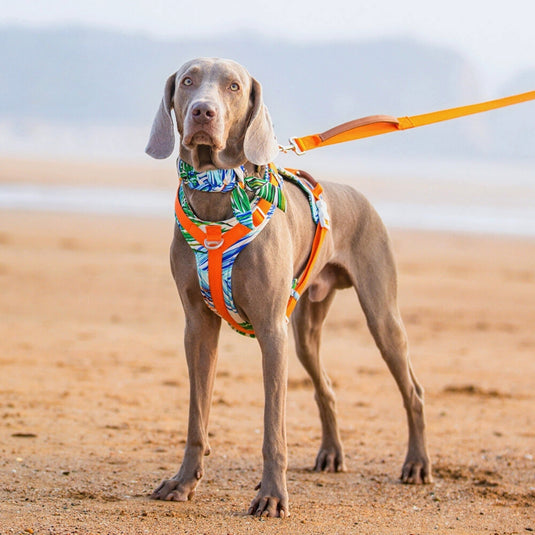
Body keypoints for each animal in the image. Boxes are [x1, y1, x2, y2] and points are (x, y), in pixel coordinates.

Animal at [146, 56, 432, 516]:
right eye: (188, 80)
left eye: (233, 86)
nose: (203, 112)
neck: (218, 191)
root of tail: (358, 195)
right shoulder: (198, 325)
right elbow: (196, 417)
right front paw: (184, 481)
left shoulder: (270, 329)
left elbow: (272, 428)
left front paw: (272, 496)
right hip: (306, 330)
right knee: (325, 388)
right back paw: (331, 454)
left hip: (381, 314)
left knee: (414, 390)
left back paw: (417, 464)